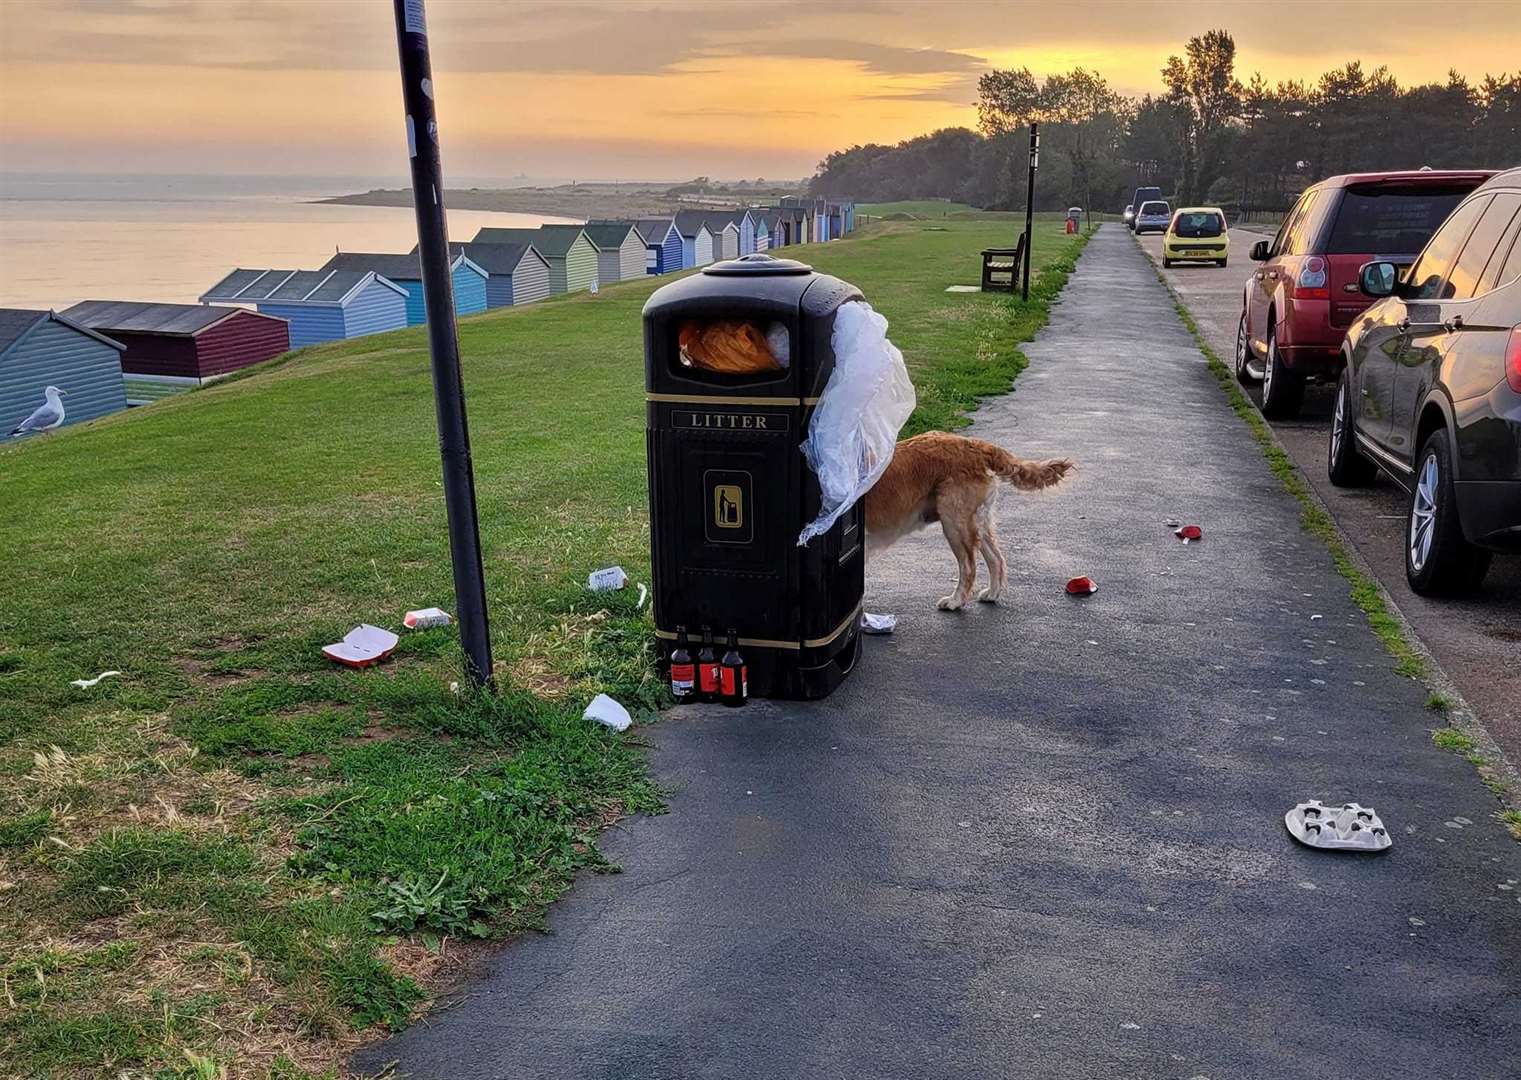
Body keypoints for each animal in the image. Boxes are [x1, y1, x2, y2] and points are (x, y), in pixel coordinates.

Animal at [870, 435, 1070, 614]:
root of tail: (975, 444)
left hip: (955, 522)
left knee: (968, 567)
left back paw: (955, 601)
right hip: (978, 521)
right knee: (996, 559)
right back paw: (992, 594)